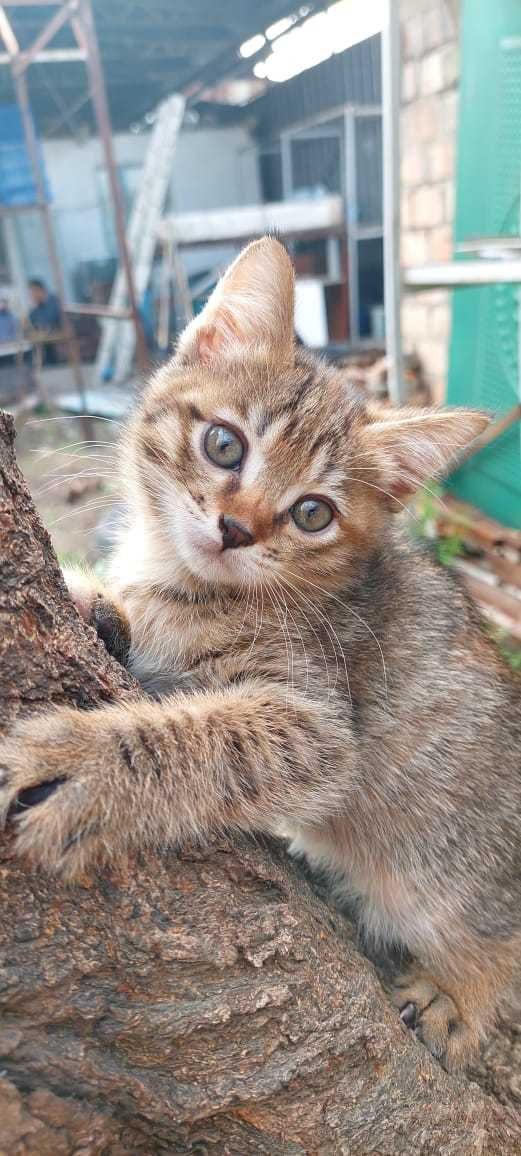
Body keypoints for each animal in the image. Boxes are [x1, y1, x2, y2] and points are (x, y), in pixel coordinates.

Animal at [1, 236, 521, 1072]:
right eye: (224, 443)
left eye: (312, 513)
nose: (236, 528)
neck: (186, 582)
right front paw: (96, 602)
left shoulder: (319, 729)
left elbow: (204, 735)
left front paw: (86, 766)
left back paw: (464, 992)